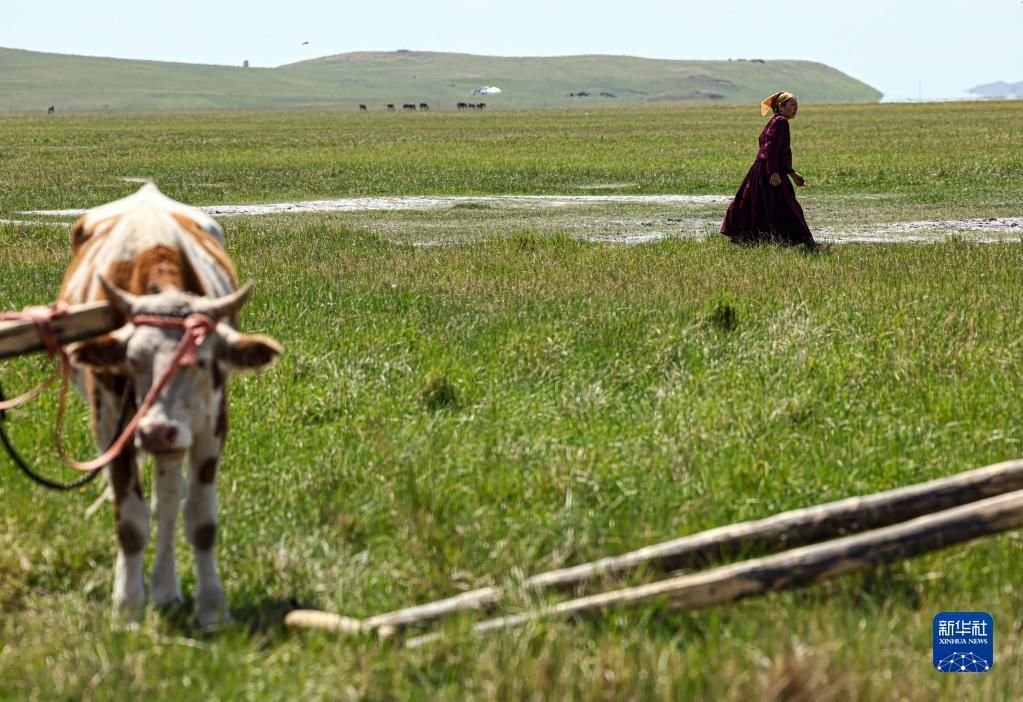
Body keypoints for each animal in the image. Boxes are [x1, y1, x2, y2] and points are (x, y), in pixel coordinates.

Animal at [59, 184, 284, 630]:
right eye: (132, 361)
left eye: (199, 361)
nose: (156, 430)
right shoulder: (112, 429)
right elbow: (130, 522)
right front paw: (127, 607)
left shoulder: (211, 425)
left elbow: (200, 519)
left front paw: (213, 608)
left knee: (165, 503)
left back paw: (165, 588)